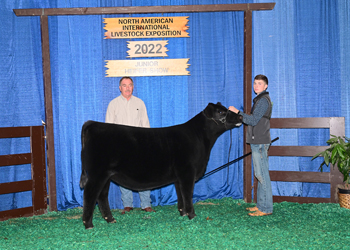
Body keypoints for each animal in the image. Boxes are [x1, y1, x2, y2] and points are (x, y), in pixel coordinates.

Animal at [80, 102, 242, 229]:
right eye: (220, 112)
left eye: (226, 108)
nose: (240, 116)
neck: (200, 139)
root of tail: (93, 124)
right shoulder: (187, 173)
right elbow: (188, 194)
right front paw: (192, 215)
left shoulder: (179, 177)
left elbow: (181, 195)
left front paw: (182, 213)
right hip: (97, 174)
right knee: (90, 194)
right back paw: (88, 224)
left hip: (106, 175)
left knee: (102, 195)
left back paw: (111, 220)